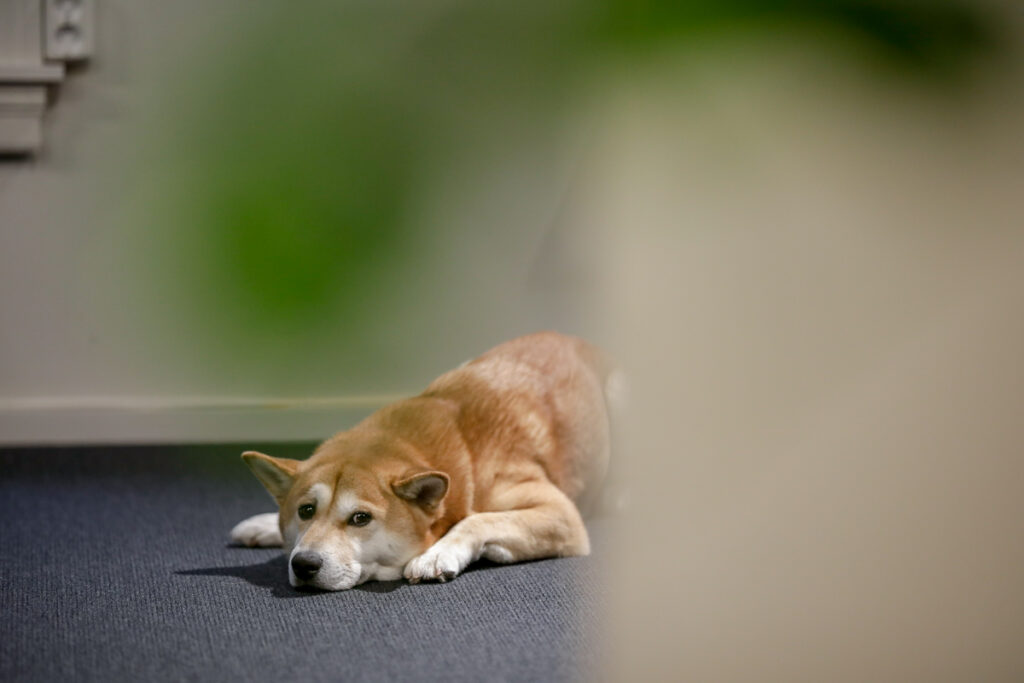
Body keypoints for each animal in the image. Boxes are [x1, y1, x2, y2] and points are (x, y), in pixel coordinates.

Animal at [230, 331, 615, 590]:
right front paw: (268, 525)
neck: (465, 450)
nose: (304, 563)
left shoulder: (562, 515)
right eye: (306, 511)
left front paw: (437, 553)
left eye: (360, 518)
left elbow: (477, 520)